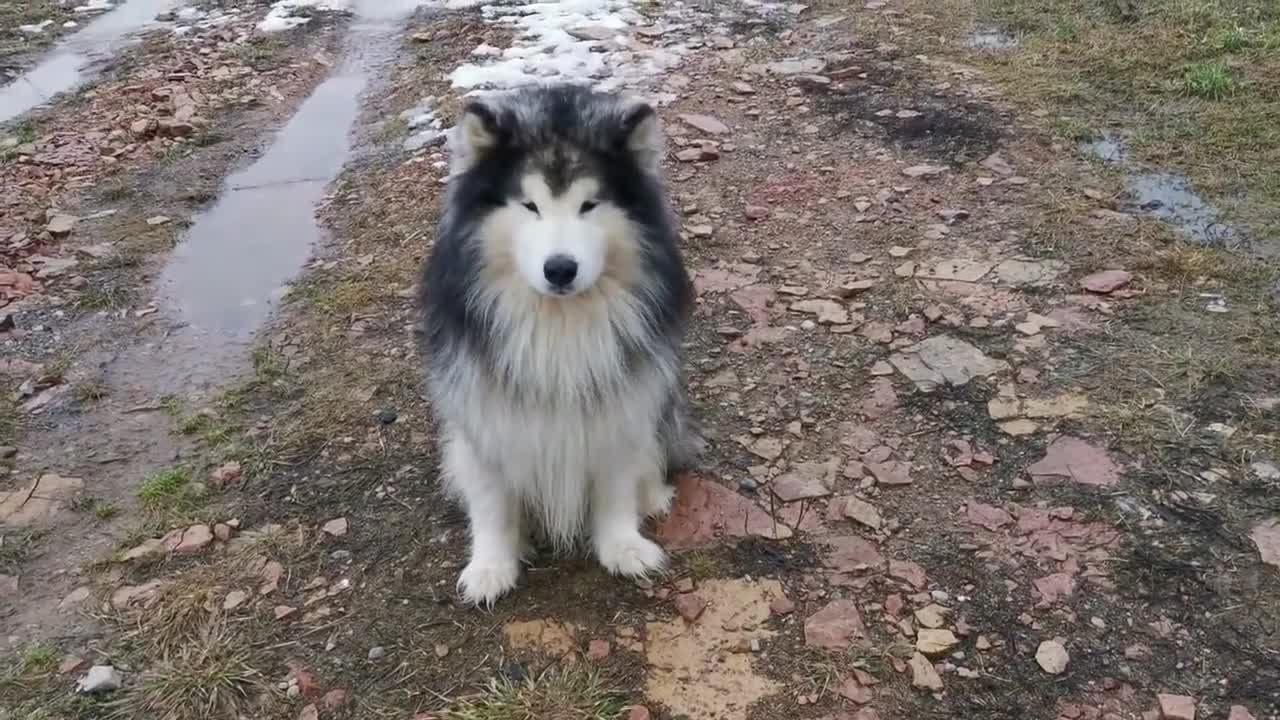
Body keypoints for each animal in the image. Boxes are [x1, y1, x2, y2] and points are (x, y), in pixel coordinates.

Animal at [417, 81, 701, 602]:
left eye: (590, 205)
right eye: (529, 206)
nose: (561, 269)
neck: (558, 322)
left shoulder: (621, 406)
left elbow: (615, 483)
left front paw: (622, 546)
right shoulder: (485, 412)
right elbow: (492, 500)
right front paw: (492, 566)